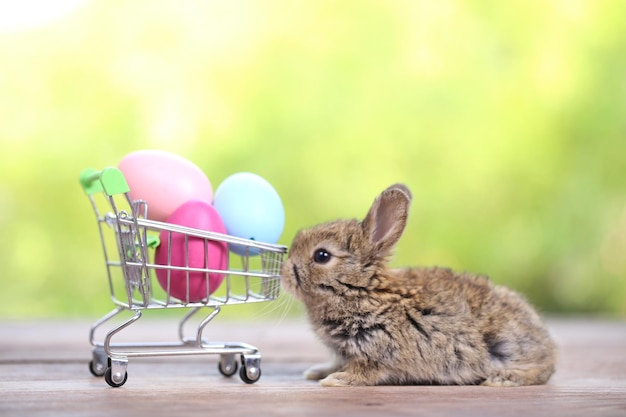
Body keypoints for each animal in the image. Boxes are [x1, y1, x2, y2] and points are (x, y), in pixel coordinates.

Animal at [280, 184, 552, 386]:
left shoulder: (377, 349)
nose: (283, 274)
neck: (362, 289)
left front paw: (336, 380)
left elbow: (364, 372)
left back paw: (501, 380)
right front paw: (319, 372)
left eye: (322, 256)